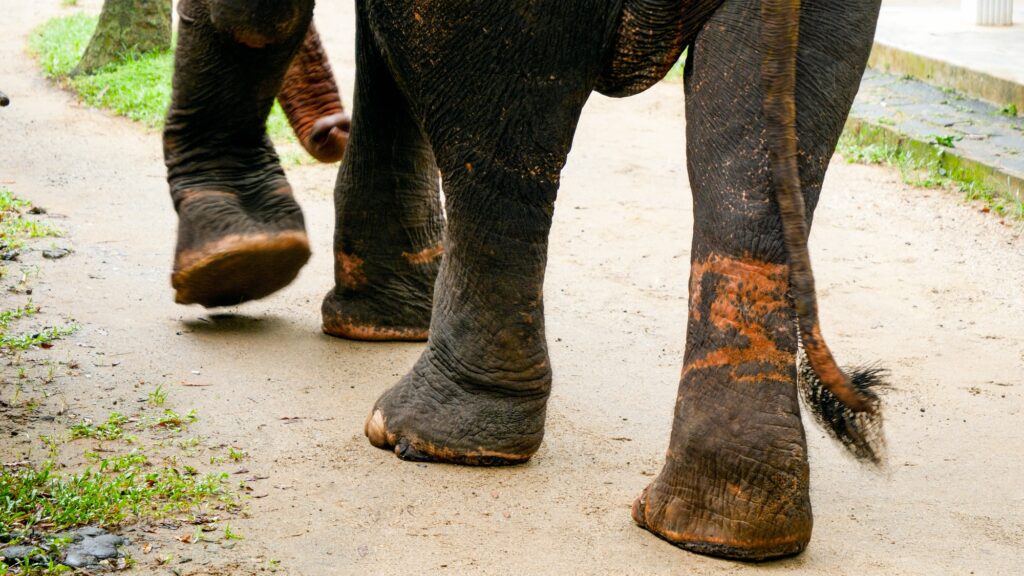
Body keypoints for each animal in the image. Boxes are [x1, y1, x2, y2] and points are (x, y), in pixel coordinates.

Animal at [163, 0, 884, 561]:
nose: (330, 130)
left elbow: (258, 17)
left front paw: (235, 264)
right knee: (750, 162)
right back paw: (721, 532)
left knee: (502, 145)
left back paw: (426, 438)